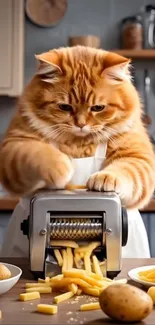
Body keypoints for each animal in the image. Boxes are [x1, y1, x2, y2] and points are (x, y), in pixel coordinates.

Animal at [0, 45, 155, 208]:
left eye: (98, 108)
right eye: (65, 107)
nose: (81, 124)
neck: (78, 143)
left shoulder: (138, 156)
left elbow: (126, 169)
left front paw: (106, 178)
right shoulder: (14, 146)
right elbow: (36, 152)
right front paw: (60, 167)